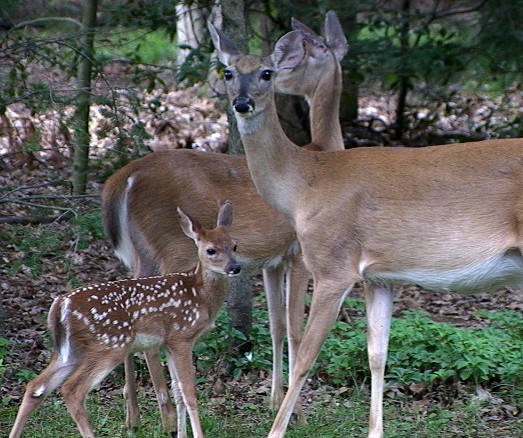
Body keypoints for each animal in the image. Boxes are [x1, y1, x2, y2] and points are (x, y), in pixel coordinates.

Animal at [9, 200, 240, 438]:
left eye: (234, 246)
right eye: (211, 250)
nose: (234, 267)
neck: (200, 294)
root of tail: (61, 304)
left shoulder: (168, 343)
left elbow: (177, 391)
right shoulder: (182, 336)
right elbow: (189, 393)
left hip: (71, 349)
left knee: (36, 386)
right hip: (110, 343)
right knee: (72, 390)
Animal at [101, 11, 347, 435]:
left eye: (274, 69)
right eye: (230, 71)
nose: (244, 101)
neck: (322, 151)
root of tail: (123, 179)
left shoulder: (271, 260)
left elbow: (275, 324)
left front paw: (274, 400)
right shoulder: (297, 251)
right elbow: (295, 327)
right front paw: (296, 412)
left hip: (141, 252)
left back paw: (134, 416)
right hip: (175, 245)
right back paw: (166, 416)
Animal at [211, 20, 523, 438]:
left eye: (267, 73)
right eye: (228, 72)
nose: (242, 104)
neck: (306, 184)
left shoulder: (332, 266)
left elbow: (306, 355)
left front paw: (277, 430)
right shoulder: (379, 276)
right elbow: (378, 352)